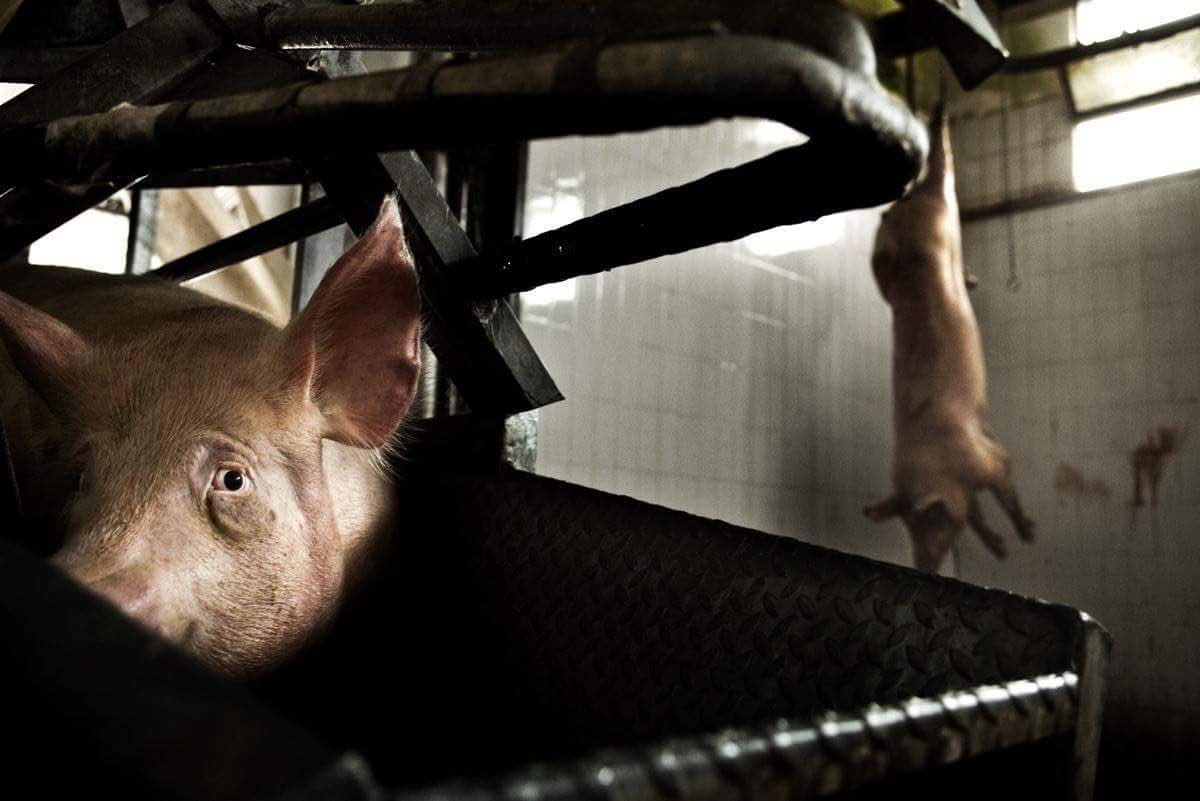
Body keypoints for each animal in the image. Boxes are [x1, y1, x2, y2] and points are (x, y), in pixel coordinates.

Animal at [864, 105, 1034, 573]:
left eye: (929, 521)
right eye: (905, 526)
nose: (923, 565)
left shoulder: (988, 459)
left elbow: (1004, 483)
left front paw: (1028, 536)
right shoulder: (968, 484)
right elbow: (976, 513)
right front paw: (1002, 549)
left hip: (934, 212)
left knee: (942, 171)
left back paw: (939, 119)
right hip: (895, 249)